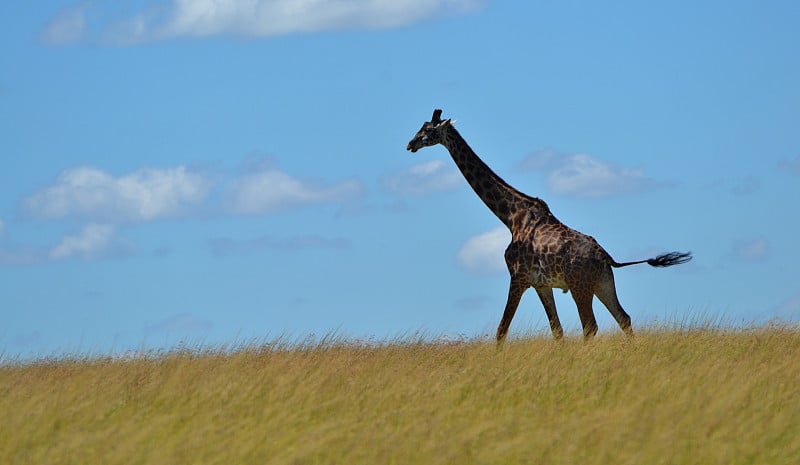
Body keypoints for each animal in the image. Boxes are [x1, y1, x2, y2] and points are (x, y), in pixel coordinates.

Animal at [404, 108, 692, 340]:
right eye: (421, 126)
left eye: (428, 130)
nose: (410, 144)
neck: (510, 217)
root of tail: (607, 257)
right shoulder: (541, 284)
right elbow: (557, 332)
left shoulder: (518, 277)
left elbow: (501, 330)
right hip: (603, 283)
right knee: (623, 319)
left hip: (580, 285)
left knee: (591, 326)